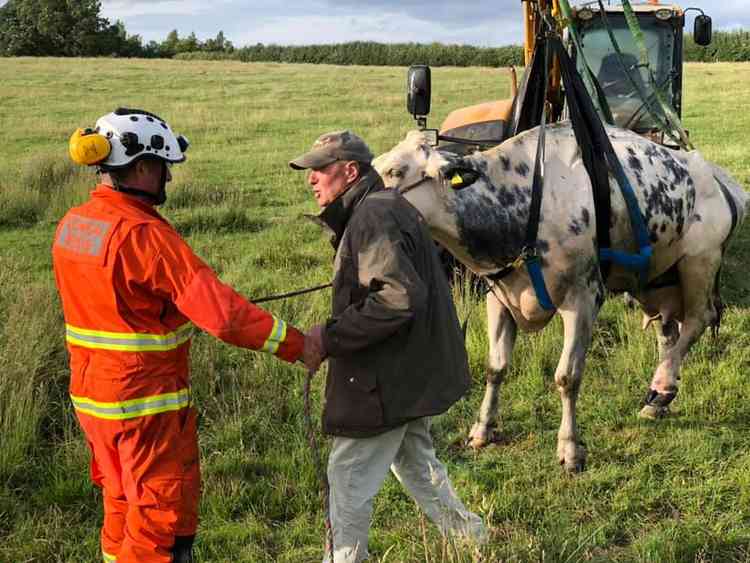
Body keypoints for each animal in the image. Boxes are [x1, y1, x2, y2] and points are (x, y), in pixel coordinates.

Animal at [374, 123, 748, 472]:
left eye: (396, 171)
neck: (523, 203)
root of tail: (719, 177)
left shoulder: (583, 298)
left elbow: (567, 377)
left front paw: (570, 448)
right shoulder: (499, 297)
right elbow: (496, 367)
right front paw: (483, 429)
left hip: (699, 262)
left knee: (698, 320)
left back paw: (664, 381)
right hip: (655, 277)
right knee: (668, 330)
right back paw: (658, 399)